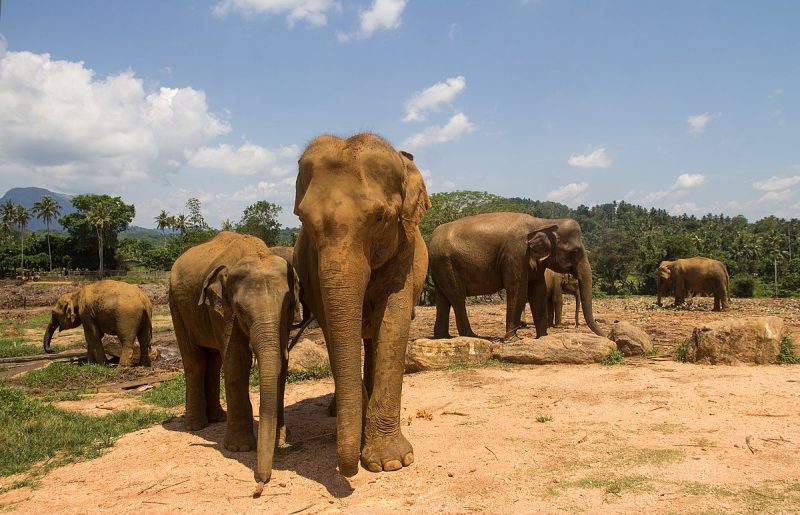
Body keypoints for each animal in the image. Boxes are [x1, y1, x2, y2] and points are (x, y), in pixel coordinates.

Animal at [168, 231, 299, 484]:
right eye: (241, 311)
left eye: (289, 307)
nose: (263, 479)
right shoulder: (223, 312)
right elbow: (237, 360)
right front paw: (239, 448)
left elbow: (282, 360)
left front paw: (282, 438)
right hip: (176, 305)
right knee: (195, 362)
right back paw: (195, 426)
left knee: (213, 361)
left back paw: (218, 418)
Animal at [293, 133, 430, 477]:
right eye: (303, 221)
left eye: (380, 218)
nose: (348, 469)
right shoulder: (313, 267)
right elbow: (334, 331)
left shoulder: (405, 250)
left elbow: (393, 323)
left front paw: (390, 463)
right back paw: (334, 411)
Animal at [429, 212, 602, 340]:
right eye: (574, 251)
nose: (606, 335)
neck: (543, 222)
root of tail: (431, 238)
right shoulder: (516, 254)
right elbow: (518, 291)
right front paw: (513, 340)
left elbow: (538, 292)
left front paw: (542, 337)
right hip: (447, 265)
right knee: (458, 298)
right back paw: (472, 336)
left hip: (440, 267)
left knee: (443, 299)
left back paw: (443, 337)